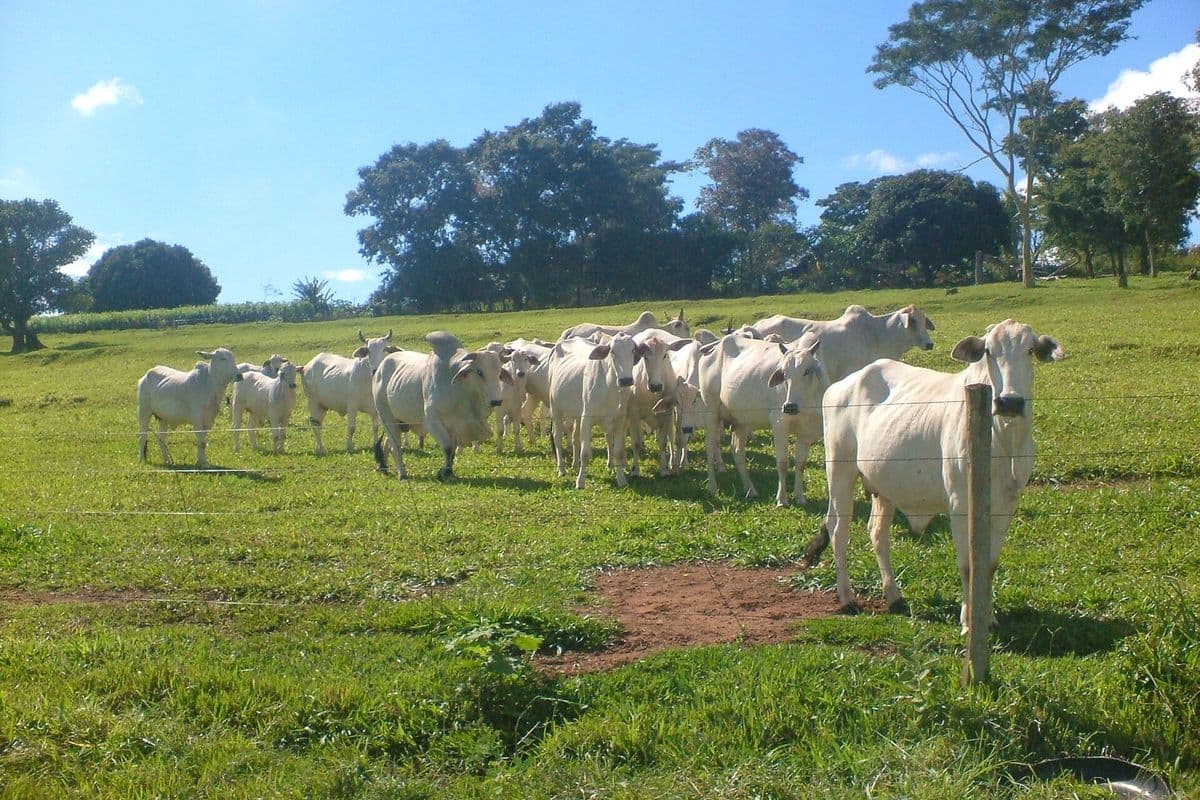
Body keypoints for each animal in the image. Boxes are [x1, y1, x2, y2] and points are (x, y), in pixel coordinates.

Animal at [372, 331, 511, 480]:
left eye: (499, 373)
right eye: (479, 372)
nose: (496, 401)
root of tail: (381, 367)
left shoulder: (455, 425)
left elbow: (453, 450)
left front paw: (448, 472)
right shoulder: (432, 421)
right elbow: (447, 447)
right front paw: (444, 473)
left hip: (400, 420)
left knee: (387, 443)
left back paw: (383, 466)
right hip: (385, 415)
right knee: (396, 446)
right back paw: (402, 474)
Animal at [548, 332, 643, 489]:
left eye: (633, 350)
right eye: (612, 352)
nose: (626, 380)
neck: (610, 387)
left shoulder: (619, 420)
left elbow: (618, 451)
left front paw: (621, 479)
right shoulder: (587, 418)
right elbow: (585, 453)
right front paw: (580, 482)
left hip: (577, 413)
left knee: (575, 437)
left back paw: (575, 465)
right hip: (555, 406)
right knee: (557, 437)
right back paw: (561, 468)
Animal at [699, 333, 828, 506]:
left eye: (807, 371)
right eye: (784, 374)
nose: (790, 407)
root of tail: (714, 346)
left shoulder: (806, 433)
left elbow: (800, 464)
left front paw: (800, 497)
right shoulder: (779, 424)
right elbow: (783, 463)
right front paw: (781, 500)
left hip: (741, 420)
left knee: (737, 451)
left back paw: (750, 489)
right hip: (711, 412)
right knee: (710, 447)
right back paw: (713, 487)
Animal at [805, 319, 1064, 634]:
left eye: (1029, 350)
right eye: (989, 351)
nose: (1009, 402)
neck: (1003, 439)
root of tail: (842, 384)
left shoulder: (1006, 506)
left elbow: (988, 565)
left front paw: (988, 617)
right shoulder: (960, 505)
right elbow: (969, 565)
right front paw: (968, 622)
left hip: (884, 487)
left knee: (877, 533)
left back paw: (894, 596)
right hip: (839, 470)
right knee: (838, 529)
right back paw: (846, 597)